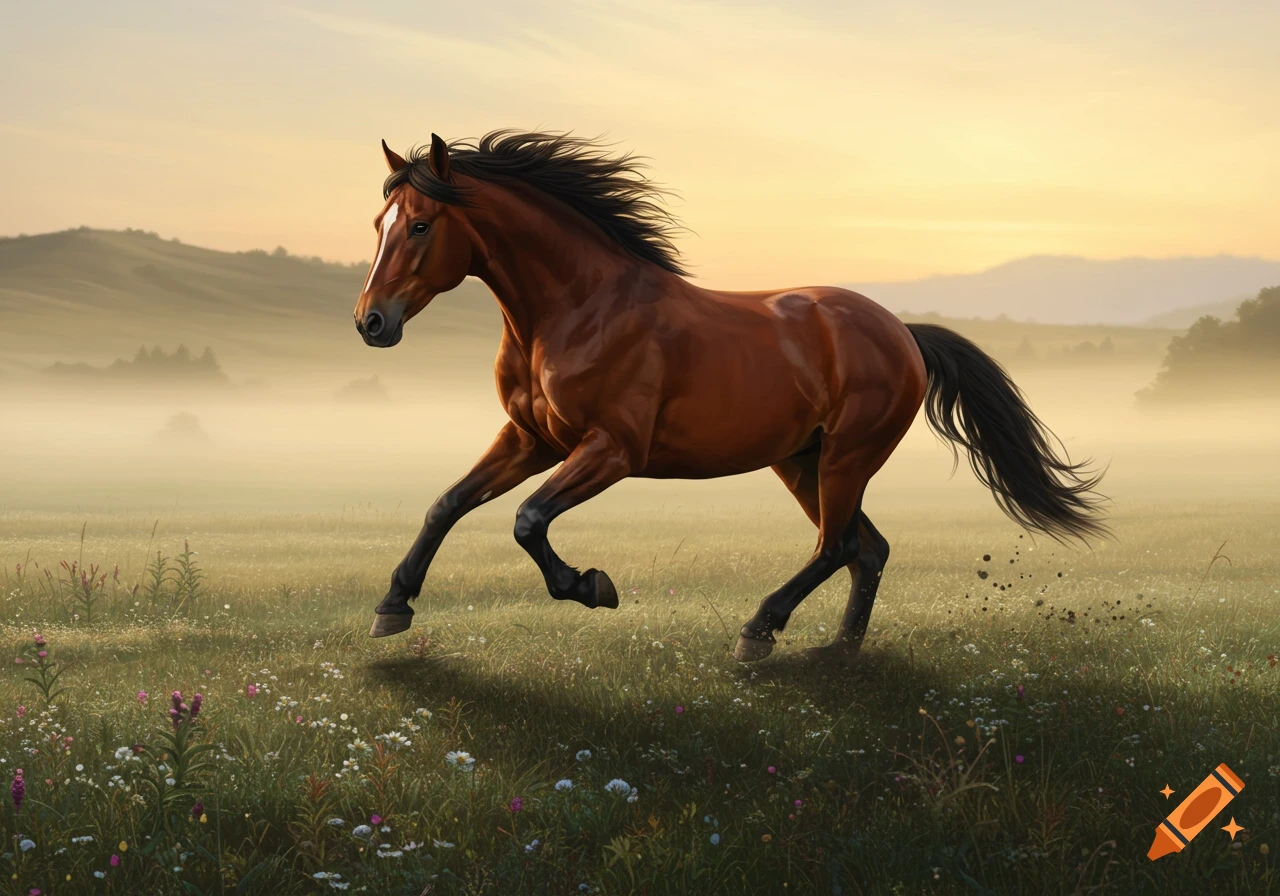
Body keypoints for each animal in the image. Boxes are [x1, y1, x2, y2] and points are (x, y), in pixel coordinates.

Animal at [352, 130, 1107, 663]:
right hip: (802, 461)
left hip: (846, 458)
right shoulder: (530, 439)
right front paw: (392, 607)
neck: (576, 309)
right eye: (377, 223)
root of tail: (902, 332)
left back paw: (759, 632)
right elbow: (447, 504)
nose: (371, 323)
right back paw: (838, 651)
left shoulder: (612, 450)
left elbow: (528, 520)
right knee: (867, 549)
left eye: (420, 225)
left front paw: (593, 586)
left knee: (838, 546)